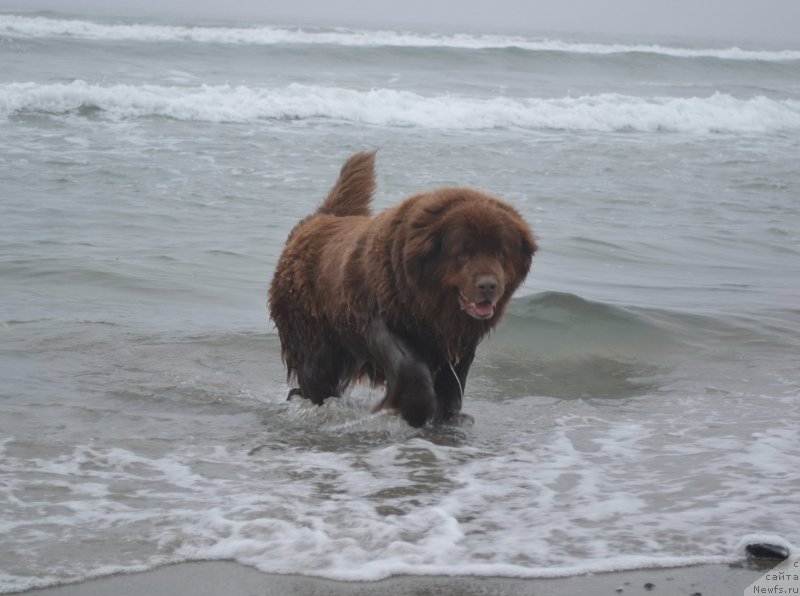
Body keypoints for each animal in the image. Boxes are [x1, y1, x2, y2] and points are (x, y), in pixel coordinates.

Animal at [270, 151, 536, 426]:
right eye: (463, 253)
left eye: (501, 253)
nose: (488, 285)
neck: (427, 302)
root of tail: (319, 219)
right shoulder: (382, 321)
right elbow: (411, 366)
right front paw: (413, 408)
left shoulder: (460, 342)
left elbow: (452, 386)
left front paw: (446, 417)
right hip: (314, 340)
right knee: (315, 380)